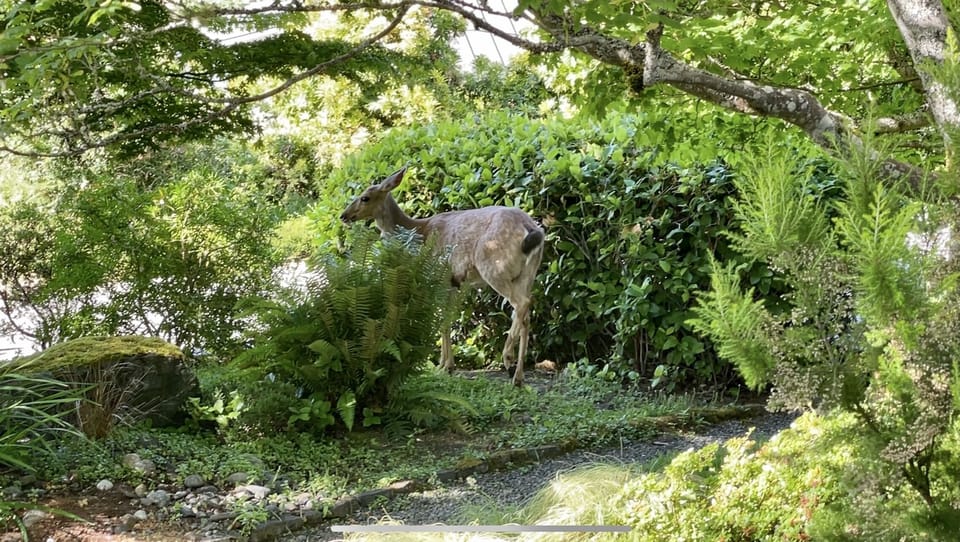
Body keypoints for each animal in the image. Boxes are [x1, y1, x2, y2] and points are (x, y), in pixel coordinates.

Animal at [339, 167, 545, 387]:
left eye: (365, 198)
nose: (344, 216)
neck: (419, 233)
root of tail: (531, 229)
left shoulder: (441, 275)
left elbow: (443, 319)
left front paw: (445, 367)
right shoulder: (455, 282)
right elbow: (448, 319)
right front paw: (445, 365)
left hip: (494, 266)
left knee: (522, 303)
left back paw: (507, 359)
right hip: (527, 274)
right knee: (526, 314)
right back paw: (518, 377)